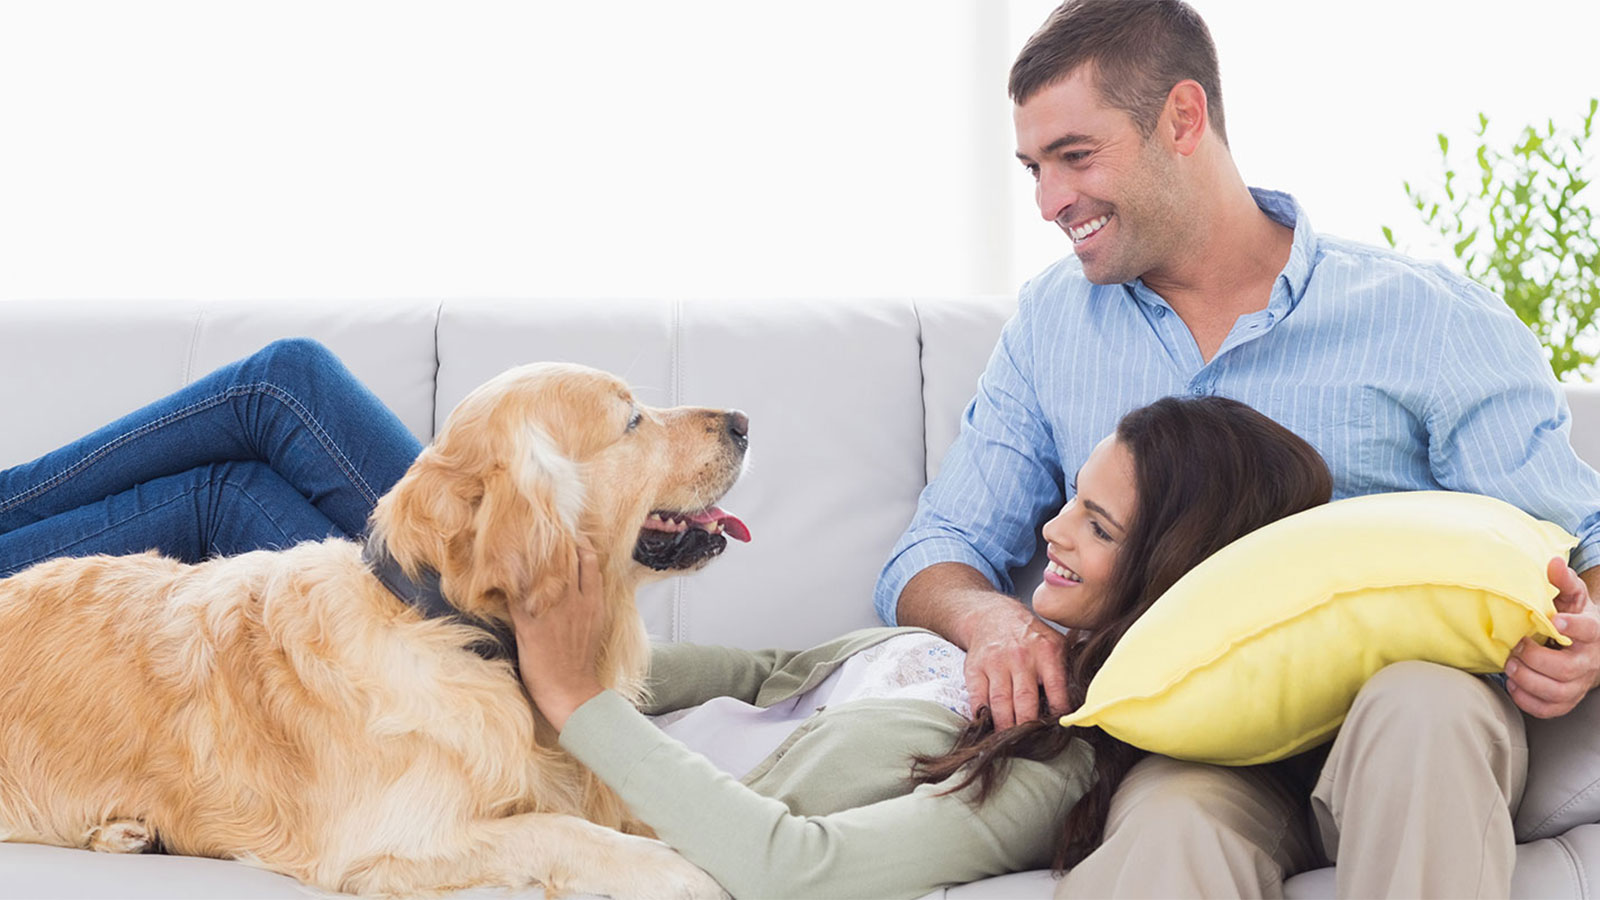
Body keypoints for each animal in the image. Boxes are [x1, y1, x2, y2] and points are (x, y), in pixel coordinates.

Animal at [0, 360, 748, 890]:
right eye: (633, 420)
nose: (743, 420)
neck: (446, 623)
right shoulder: (392, 840)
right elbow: (563, 830)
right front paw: (679, 870)